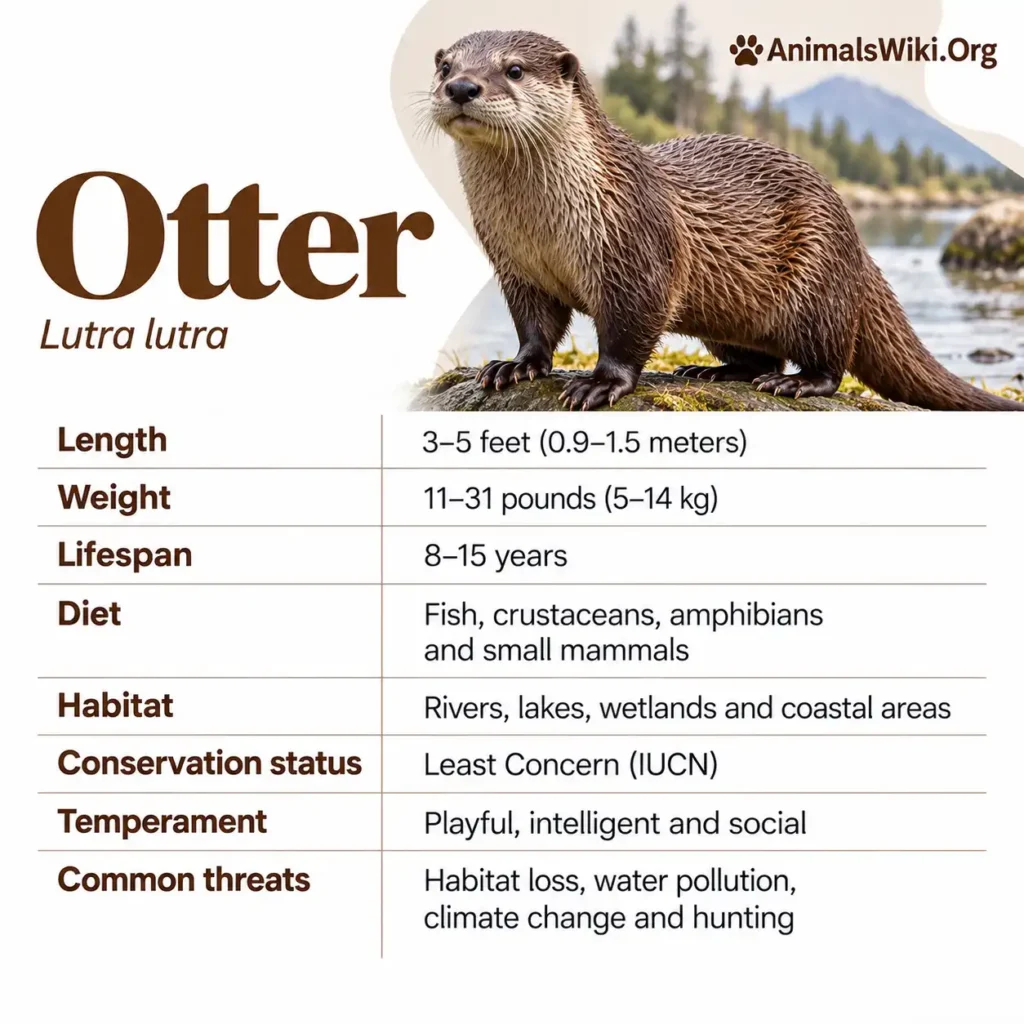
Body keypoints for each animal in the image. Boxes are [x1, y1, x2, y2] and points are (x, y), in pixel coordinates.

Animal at [427, 29, 1022, 411]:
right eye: (445, 66)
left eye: (514, 69)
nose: (462, 87)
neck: (543, 231)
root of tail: (857, 245)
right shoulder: (516, 265)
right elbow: (534, 327)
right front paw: (513, 366)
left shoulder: (638, 251)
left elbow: (628, 330)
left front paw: (600, 384)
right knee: (760, 357)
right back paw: (711, 370)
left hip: (817, 279)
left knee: (831, 358)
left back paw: (799, 385)